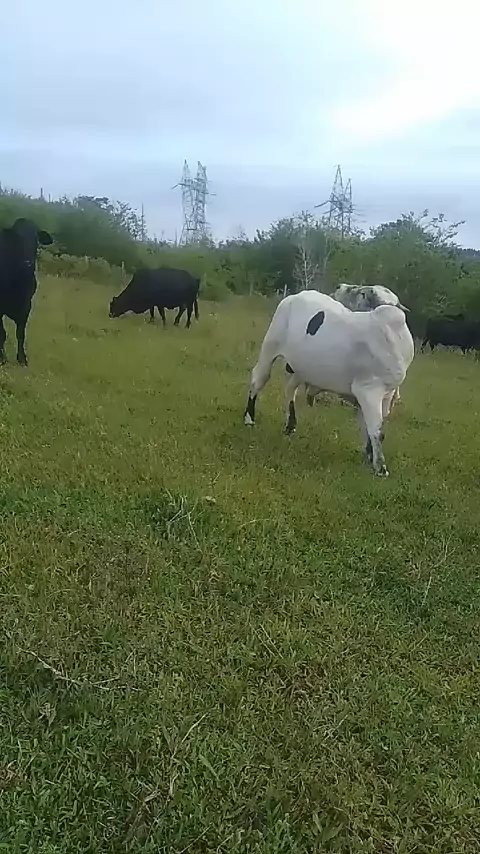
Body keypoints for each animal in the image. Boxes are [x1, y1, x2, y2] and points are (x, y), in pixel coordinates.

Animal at [0, 218, 53, 365]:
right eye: (17, 238)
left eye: (36, 240)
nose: (28, 262)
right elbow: (2, 333)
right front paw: (2, 357)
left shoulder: (26, 307)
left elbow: (20, 334)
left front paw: (22, 359)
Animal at [244, 290, 414, 477]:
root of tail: (296, 295)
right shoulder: (369, 391)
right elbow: (376, 431)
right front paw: (380, 468)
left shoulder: (386, 395)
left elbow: (369, 429)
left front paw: (369, 457)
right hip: (270, 347)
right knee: (258, 379)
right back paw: (249, 419)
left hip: (299, 366)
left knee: (290, 389)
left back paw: (290, 426)